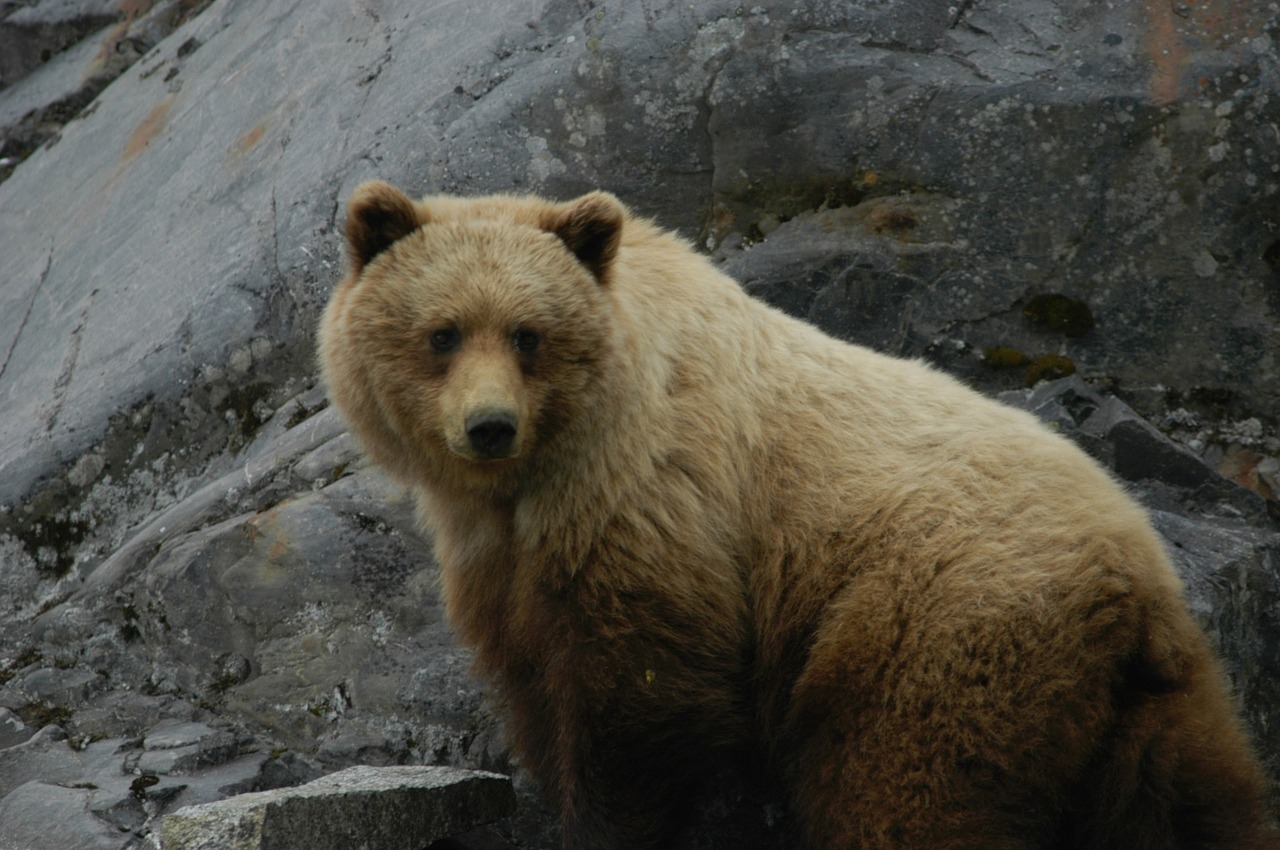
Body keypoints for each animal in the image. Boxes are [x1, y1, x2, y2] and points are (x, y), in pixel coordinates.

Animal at [320, 183, 1280, 850]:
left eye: (528, 334)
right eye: (443, 332)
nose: (489, 426)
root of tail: (1133, 582)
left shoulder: (655, 510)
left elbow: (635, 709)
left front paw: (607, 822)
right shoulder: (505, 560)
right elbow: (534, 682)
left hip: (932, 634)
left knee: (906, 795)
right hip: (1156, 709)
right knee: (1197, 806)